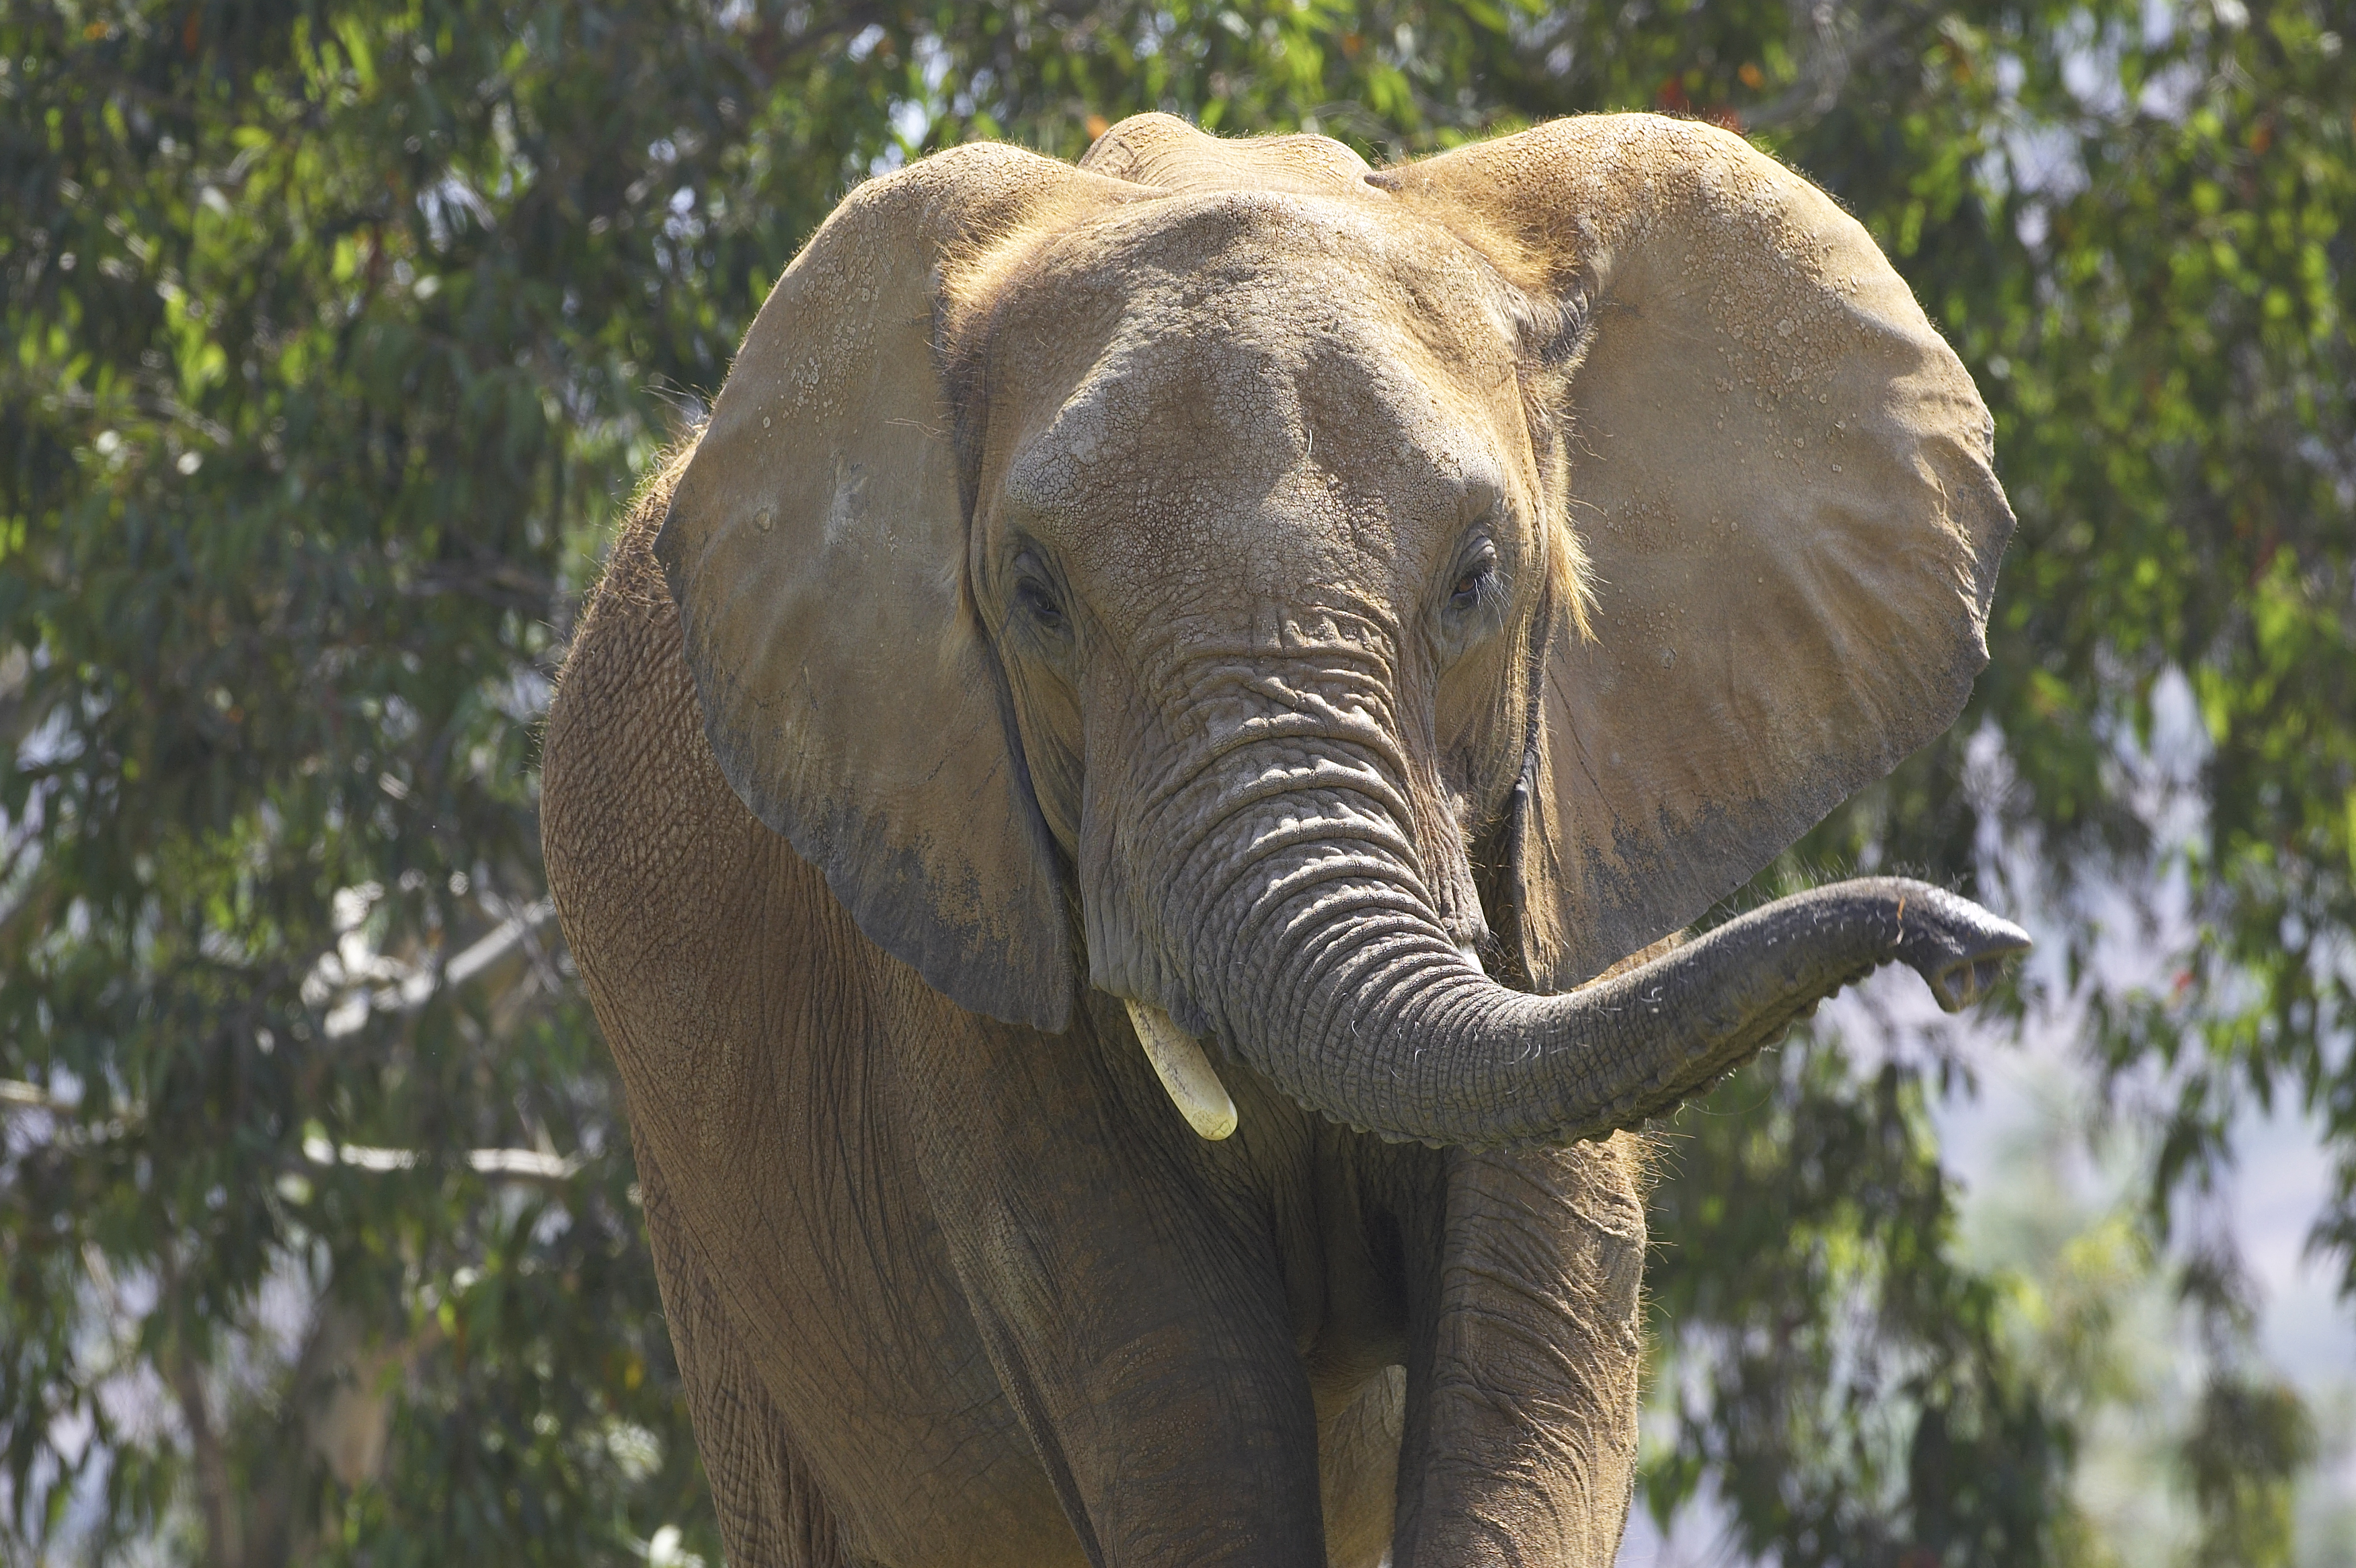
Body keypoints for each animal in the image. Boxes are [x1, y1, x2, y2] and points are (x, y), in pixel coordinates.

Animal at [546, 113, 2026, 1563]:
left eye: (1477, 578)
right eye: (1033, 595)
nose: (1969, 950)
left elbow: (1537, 1362)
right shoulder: (952, 885)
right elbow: (1173, 1393)